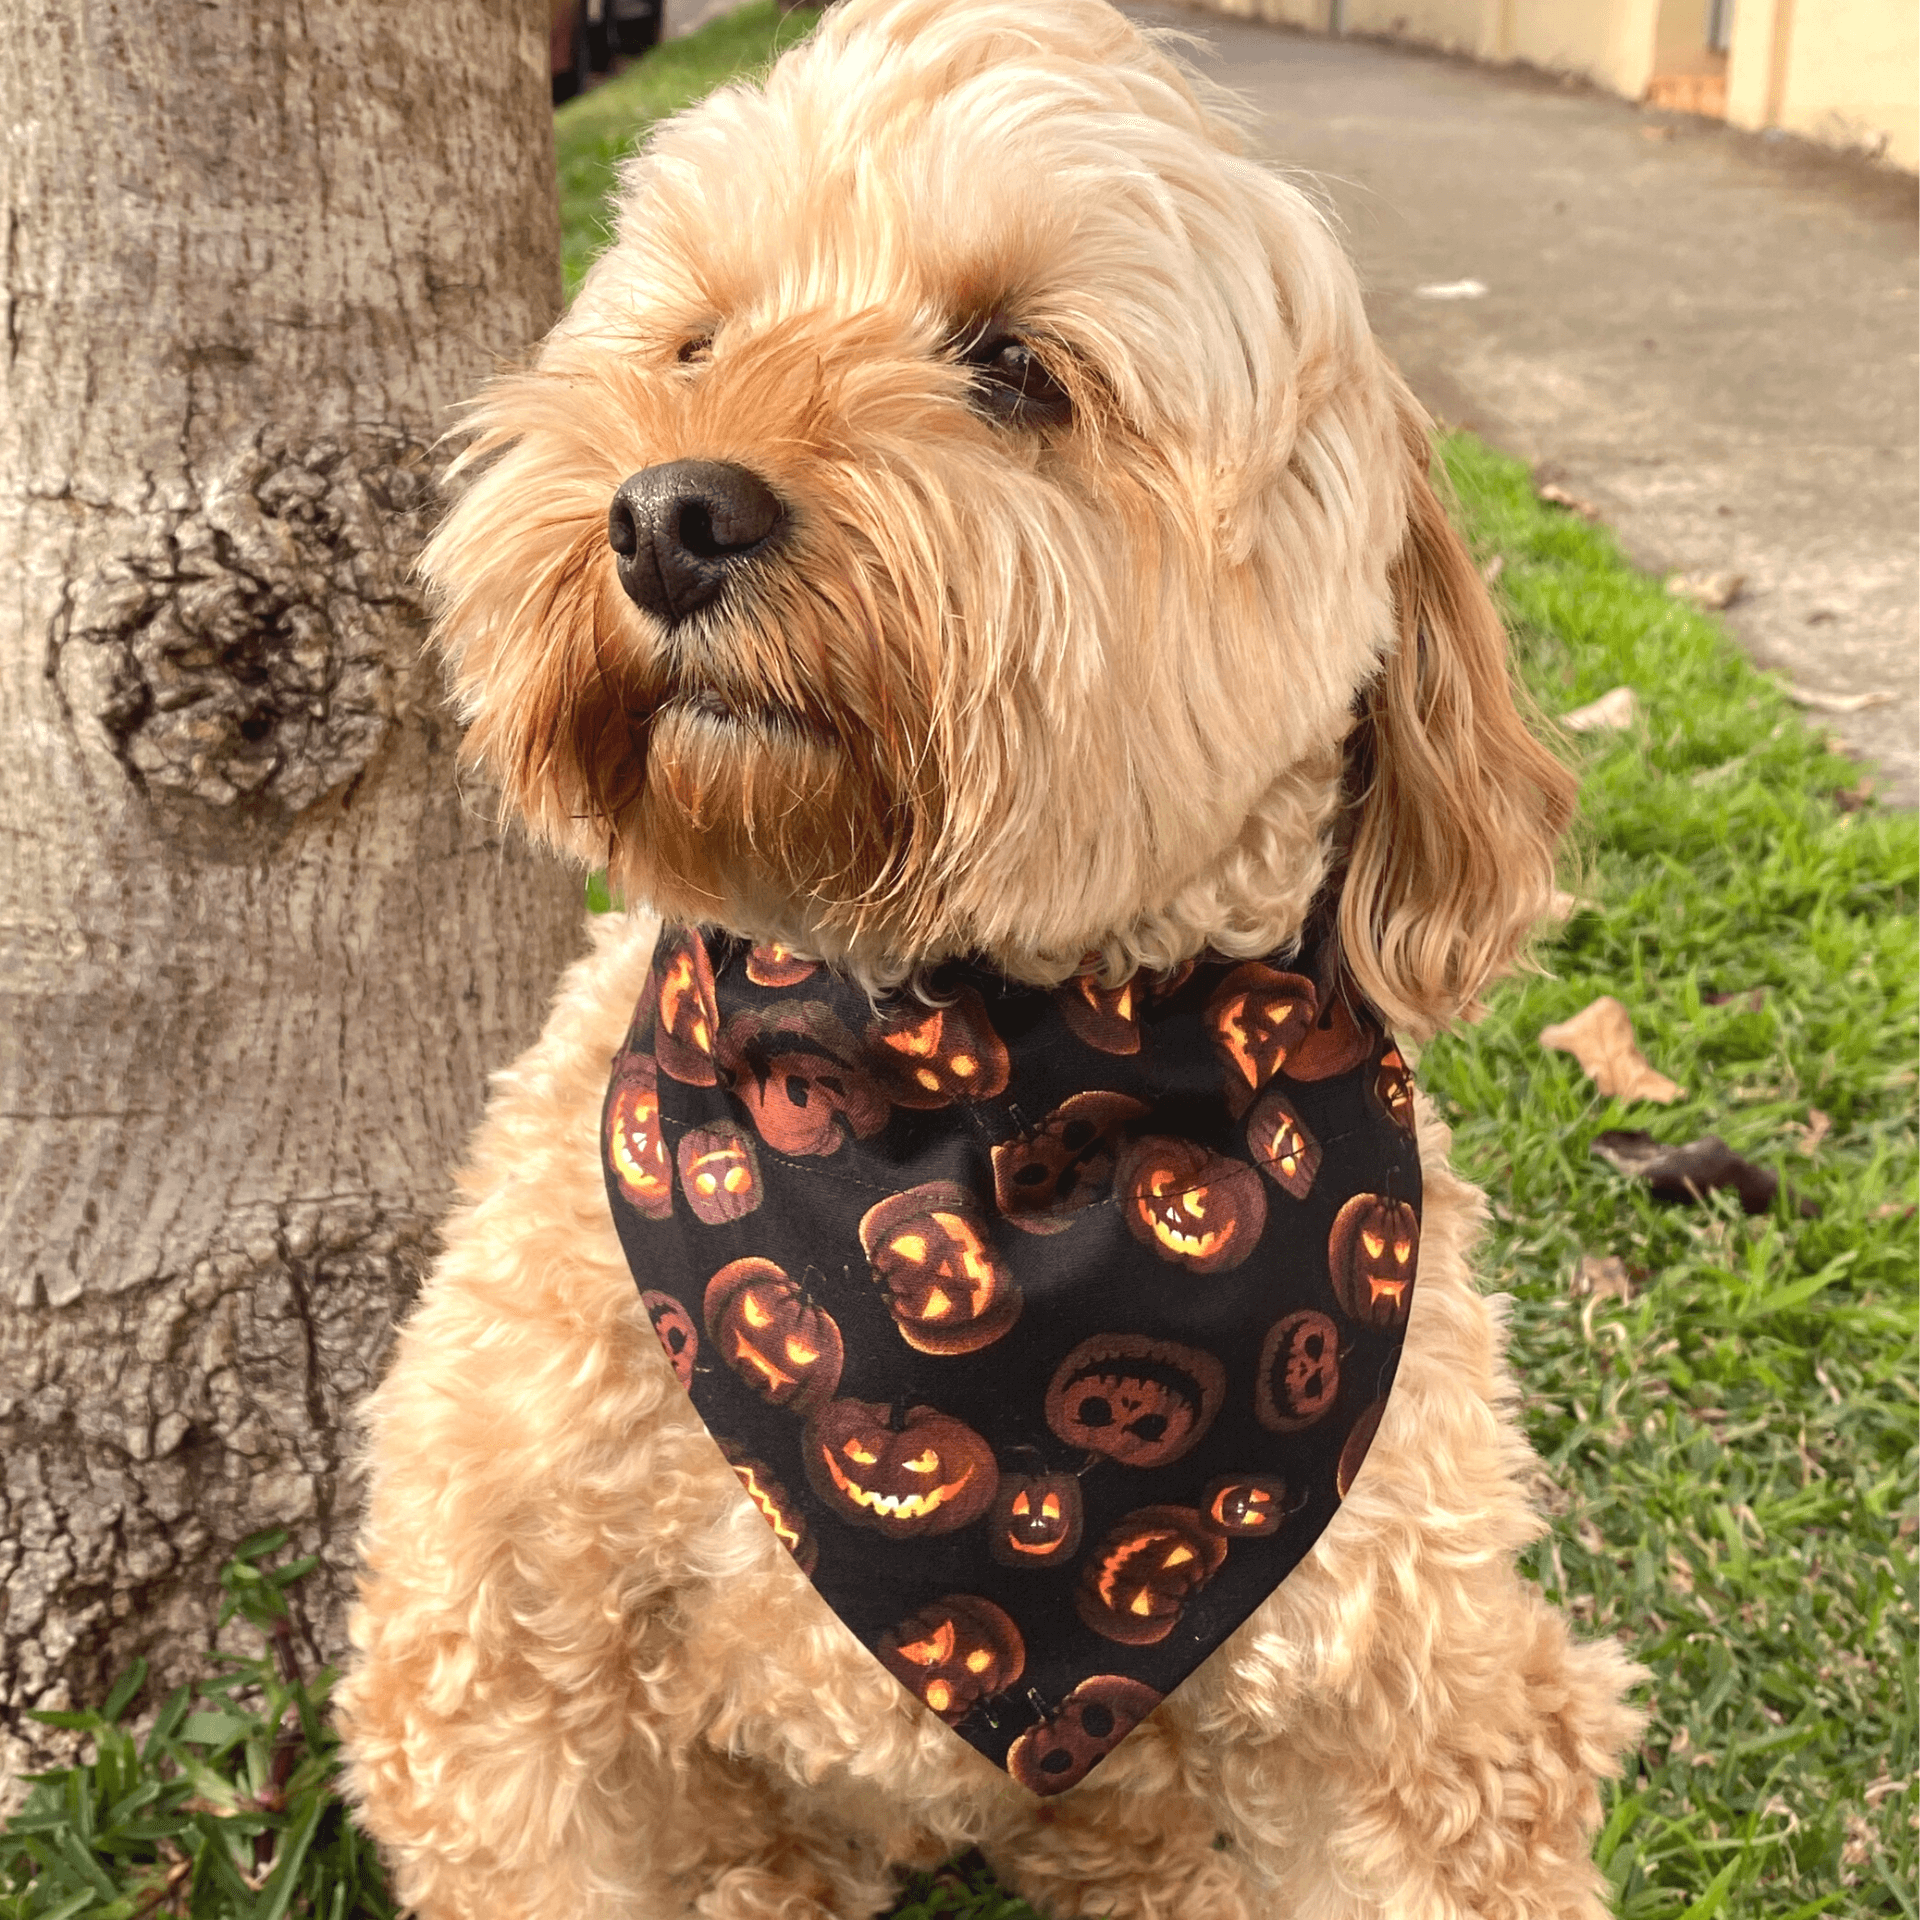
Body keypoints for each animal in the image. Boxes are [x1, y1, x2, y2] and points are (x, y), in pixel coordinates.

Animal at [337, 0, 1643, 1912]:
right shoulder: (493, 1671)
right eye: (696, 340)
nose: (665, 515)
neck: (968, 1085)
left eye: (1017, 367)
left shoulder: (1426, 1714)